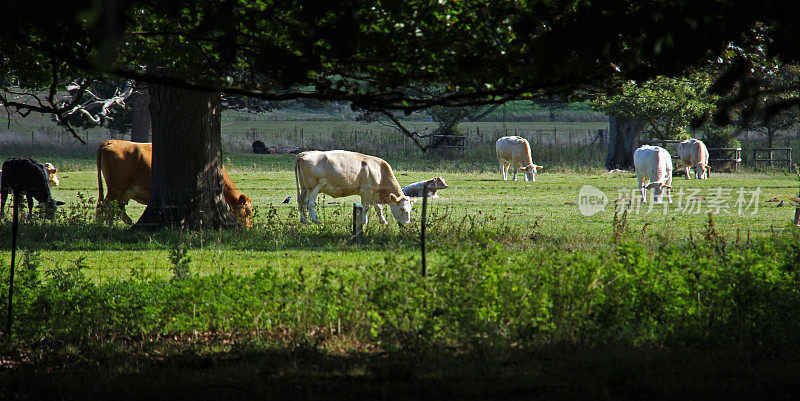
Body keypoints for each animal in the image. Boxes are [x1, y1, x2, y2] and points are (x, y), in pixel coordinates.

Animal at [97, 138, 253, 225]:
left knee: (113, 208)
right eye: (248, 211)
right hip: (116, 189)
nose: (249, 227)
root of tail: (111, 141)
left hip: (122, 192)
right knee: (104, 206)